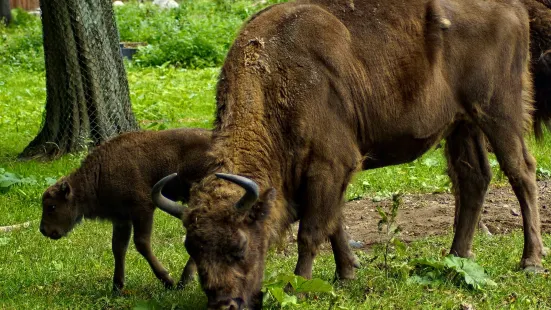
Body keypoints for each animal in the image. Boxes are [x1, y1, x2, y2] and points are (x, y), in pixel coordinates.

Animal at [39, 127, 211, 292]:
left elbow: (141, 243)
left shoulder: (142, 210)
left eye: (52, 206)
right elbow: (118, 248)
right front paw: (117, 286)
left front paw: (168, 280)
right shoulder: (121, 218)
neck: (99, 173)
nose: (43, 230)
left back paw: (184, 280)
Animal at [154, 1, 548, 308]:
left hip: (498, 112)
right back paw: (456, 257)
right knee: (474, 179)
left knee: (522, 173)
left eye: (239, 246)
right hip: (462, 124)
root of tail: (514, 7)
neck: (276, 74)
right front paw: (347, 274)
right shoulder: (330, 173)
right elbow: (334, 224)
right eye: (192, 248)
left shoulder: (329, 165)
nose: (224, 303)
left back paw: (530, 261)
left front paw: (298, 287)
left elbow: (312, 231)